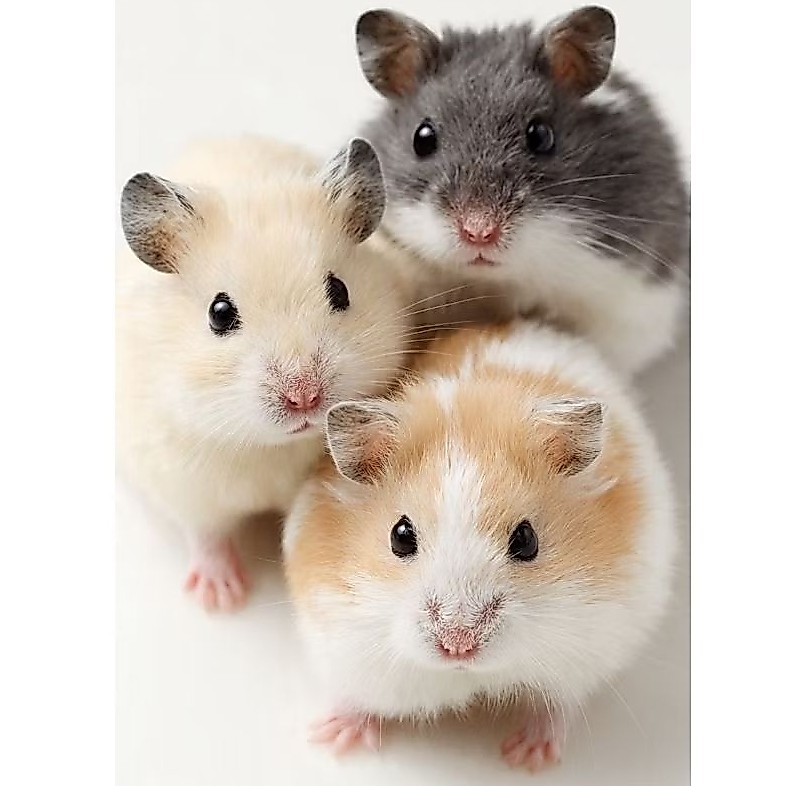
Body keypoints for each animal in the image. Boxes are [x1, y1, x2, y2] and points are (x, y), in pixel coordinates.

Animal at [116, 135, 414, 611]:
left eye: (340, 291)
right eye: (219, 313)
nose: (304, 397)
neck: (269, 446)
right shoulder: (184, 482)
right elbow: (207, 535)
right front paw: (222, 599)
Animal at [283, 319, 676, 771]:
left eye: (526, 540)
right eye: (401, 536)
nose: (459, 644)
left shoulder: (593, 641)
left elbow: (558, 704)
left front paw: (527, 758)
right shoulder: (343, 640)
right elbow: (357, 698)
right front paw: (330, 740)